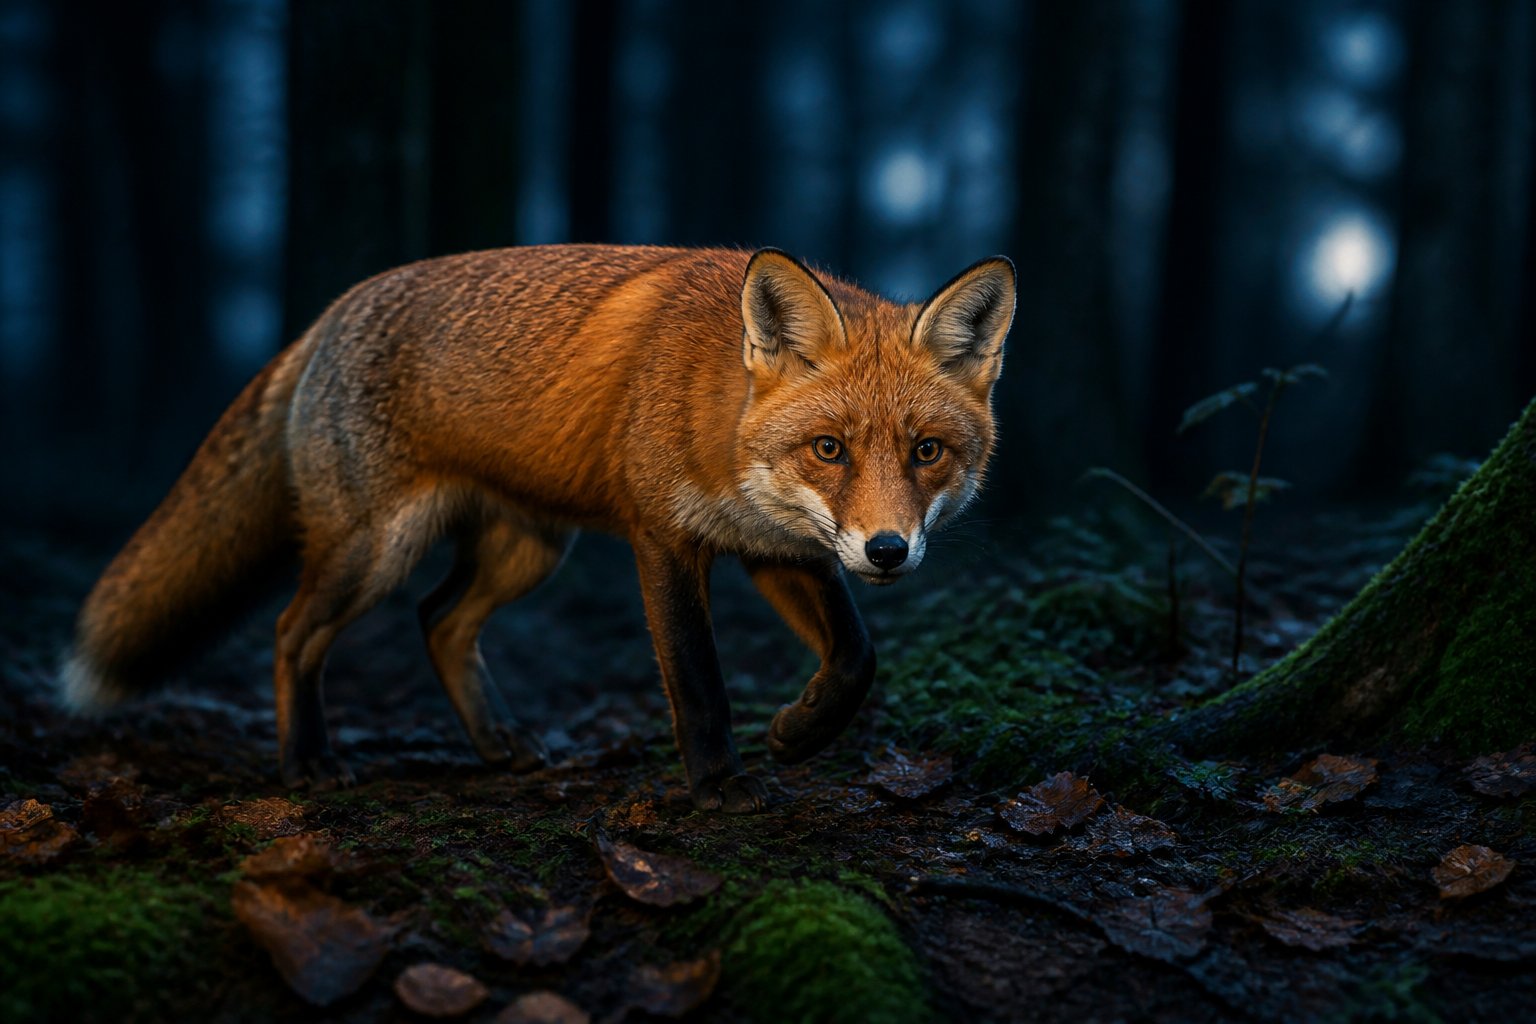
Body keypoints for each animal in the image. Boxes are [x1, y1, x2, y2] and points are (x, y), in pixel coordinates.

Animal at [62, 245, 1015, 813]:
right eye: (829, 449)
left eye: (927, 452)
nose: (887, 551)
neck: (713, 412)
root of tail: (330, 313)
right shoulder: (664, 540)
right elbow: (697, 681)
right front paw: (718, 785)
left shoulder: (780, 548)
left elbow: (856, 658)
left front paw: (798, 732)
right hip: (375, 550)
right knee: (294, 632)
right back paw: (307, 764)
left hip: (526, 553)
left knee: (439, 621)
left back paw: (497, 745)